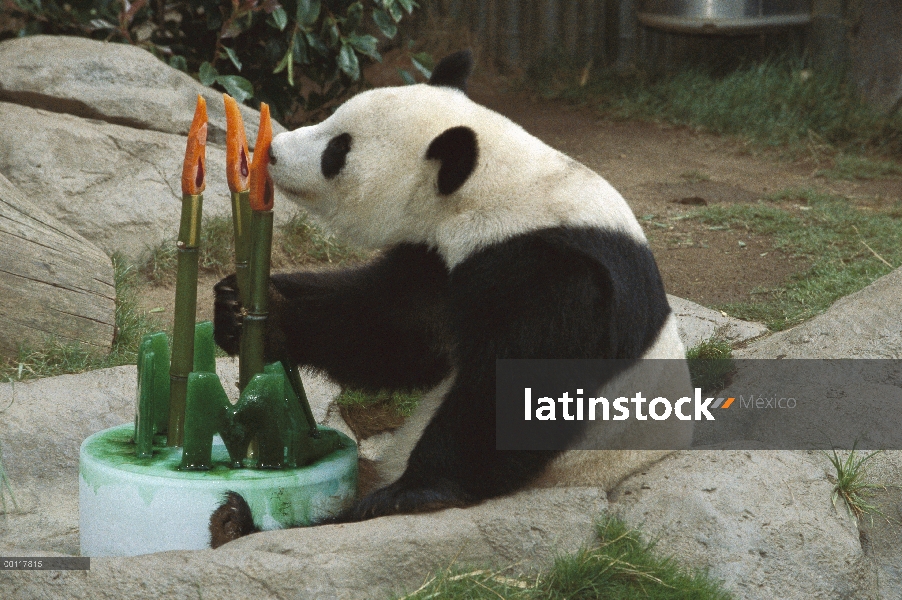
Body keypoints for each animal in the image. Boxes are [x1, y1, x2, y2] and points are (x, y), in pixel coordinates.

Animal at [215, 49, 696, 524]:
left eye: (338, 149)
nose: (273, 152)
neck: (496, 188)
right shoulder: (438, 260)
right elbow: (390, 327)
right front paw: (249, 311)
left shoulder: (549, 274)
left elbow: (517, 389)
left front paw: (415, 493)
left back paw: (243, 519)